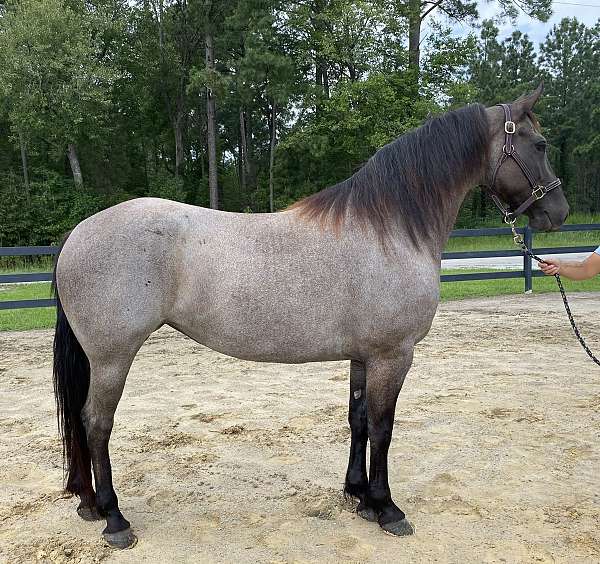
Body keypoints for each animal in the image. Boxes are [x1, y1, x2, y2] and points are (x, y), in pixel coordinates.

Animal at [50, 86, 568, 548]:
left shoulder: (364, 357)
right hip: (112, 358)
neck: (391, 230)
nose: (558, 213)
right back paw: (115, 518)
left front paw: (359, 496)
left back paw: (90, 504)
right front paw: (387, 508)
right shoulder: (393, 355)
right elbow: (383, 428)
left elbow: (358, 420)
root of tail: (77, 235)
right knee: (96, 424)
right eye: (540, 144)